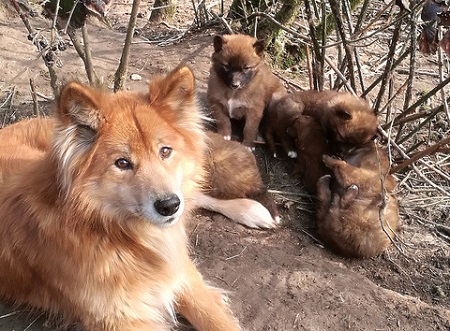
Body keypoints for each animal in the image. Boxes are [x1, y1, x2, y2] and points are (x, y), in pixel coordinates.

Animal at [0, 66, 241, 330]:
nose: (170, 206)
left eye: (165, 151)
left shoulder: (182, 272)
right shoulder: (120, 319)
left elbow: (219, 320)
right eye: (122, 163)